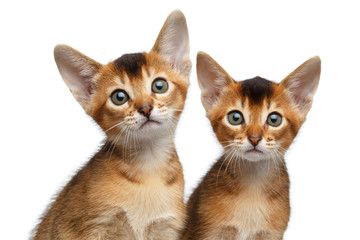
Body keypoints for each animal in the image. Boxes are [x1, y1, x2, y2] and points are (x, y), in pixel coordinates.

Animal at [31, 9, 191, 240]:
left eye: (159, 85)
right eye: (119, 97)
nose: (145, 109)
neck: (149, 170)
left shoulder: (167, 228)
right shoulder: (89, 227)